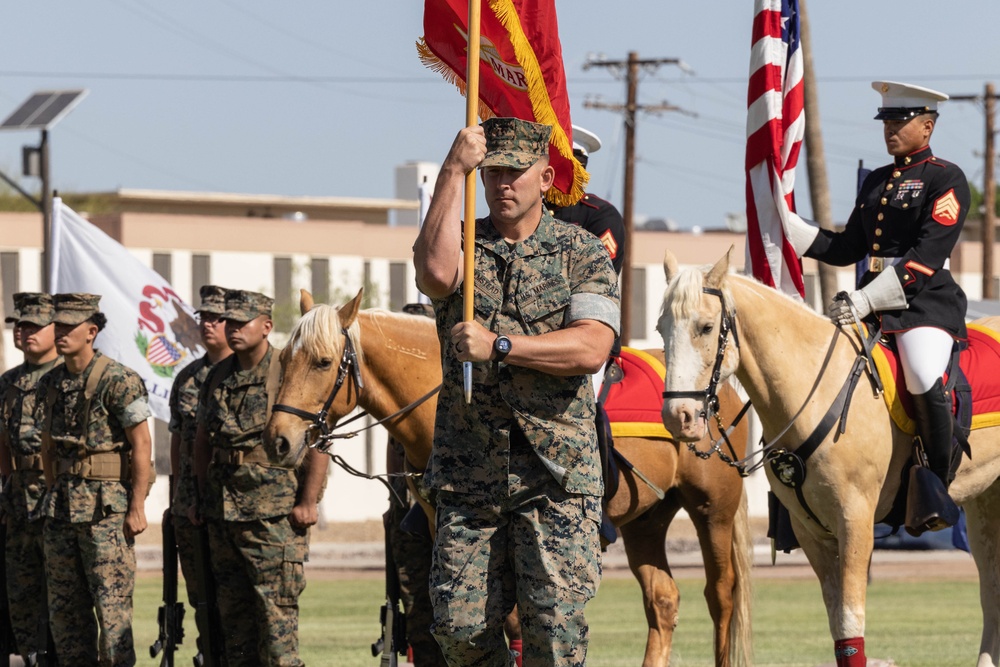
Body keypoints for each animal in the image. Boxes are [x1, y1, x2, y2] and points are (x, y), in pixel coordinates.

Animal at [264, 290, 752, 664]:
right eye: (283, 358)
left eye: (323, 362)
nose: (278, 440)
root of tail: (718, 388)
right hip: (646, 521)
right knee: (663, 601)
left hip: (712, 510)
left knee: (722, 596)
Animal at [656, 250, 1000, 667]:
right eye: (660, 328)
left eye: (706, 327)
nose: (678, 416)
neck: (815, 388)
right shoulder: (813, 532)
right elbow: (839, 628)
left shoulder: (855, 521)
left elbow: (851, 622)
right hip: (985, 502)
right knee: (992, 591)